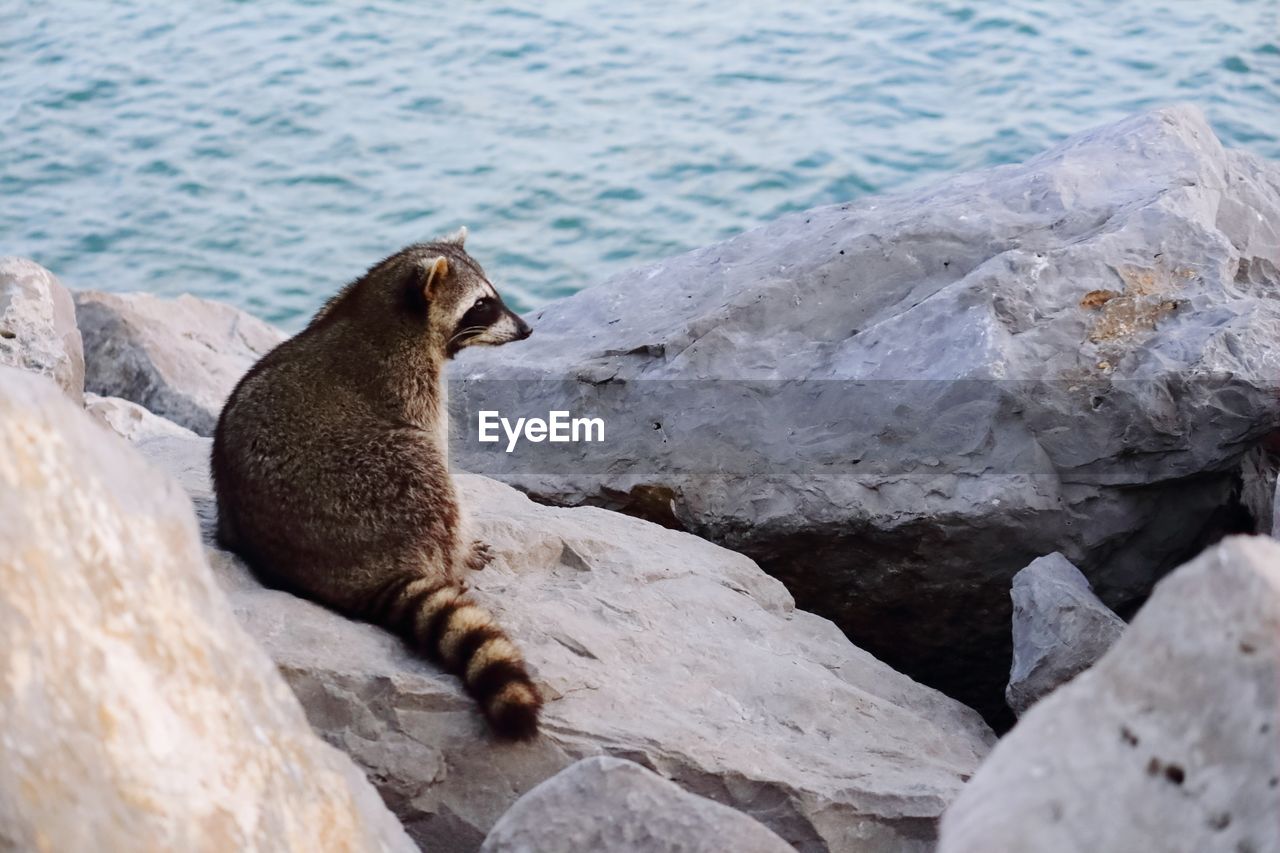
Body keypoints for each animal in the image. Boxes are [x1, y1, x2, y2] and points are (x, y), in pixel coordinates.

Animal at [212, 227, 542, 737]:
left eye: (493, 297)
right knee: (428, 476)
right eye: (483, 305)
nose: (527, 329)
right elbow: (438, 448)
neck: (379, 307)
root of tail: (345, 576)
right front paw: (464, 546)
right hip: (379, 482)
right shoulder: (408, 386)